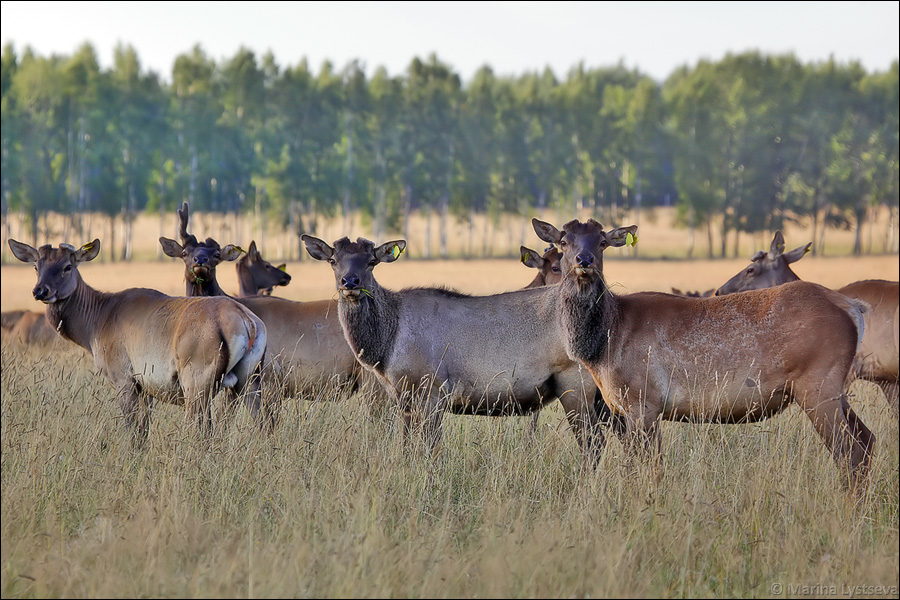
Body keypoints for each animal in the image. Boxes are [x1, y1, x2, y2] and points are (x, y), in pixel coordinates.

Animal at [8, 238, 270, 440]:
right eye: (36, 265)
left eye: (67, 267)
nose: (41, 291)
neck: (95, 325)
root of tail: (248, 322)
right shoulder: (147, 387)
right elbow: (144, 432)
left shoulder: (123, 377)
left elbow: (135, 433)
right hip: (248, 380)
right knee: (263, 421)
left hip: (197, 379)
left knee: (203, 432)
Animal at [298, 233, 608, 460]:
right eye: (333, 260)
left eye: (372, 261)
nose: (350, 281)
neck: (386, 348)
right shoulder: (403, 397)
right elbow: (406, 448)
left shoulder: (433, 391)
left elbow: (430, 450)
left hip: (575, 384)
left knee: (593, 444)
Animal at [532, 218, 876, 490]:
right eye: (563, 240)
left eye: (602, 241)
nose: (584, 259)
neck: (605, 343)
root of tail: (851, 308)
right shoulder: (623, 408)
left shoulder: (644, 401)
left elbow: (650, 469)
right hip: (832, 387)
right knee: (867, 440)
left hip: (817, 383)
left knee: (849, 451)